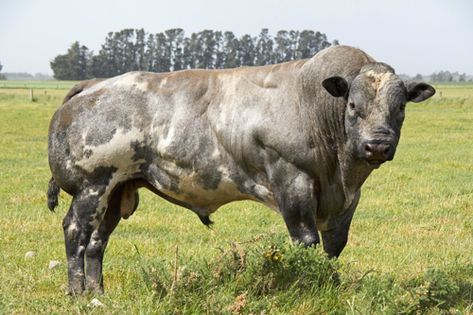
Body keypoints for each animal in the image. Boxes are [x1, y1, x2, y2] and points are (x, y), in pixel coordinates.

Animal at [46, 45, 434, 296]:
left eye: (400, 108)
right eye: (353, 105)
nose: (377, 146)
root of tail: (93, 85)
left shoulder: (346, 201)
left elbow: (334, 245)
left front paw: (333, 285)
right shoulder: (292, 181)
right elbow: (306, 242)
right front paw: (309, 285)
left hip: (115, 190)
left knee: (97, 240)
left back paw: (98, 292)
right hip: (93, 184)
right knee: (76, 231)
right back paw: (77, 292)